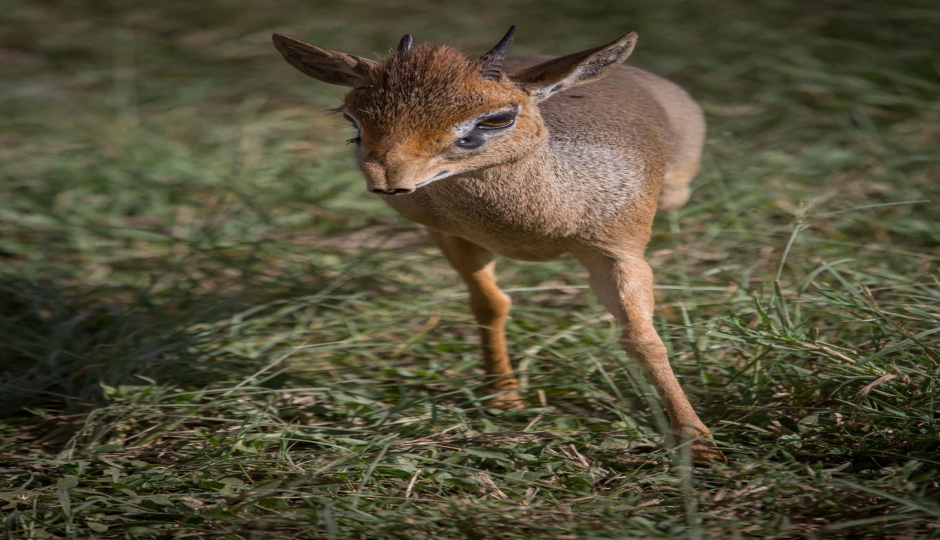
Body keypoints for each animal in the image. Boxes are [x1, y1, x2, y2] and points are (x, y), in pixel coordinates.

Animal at [276, 23, 724, 458]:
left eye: (497, 118)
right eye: (352, 117)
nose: (388, 179)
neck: (535, 226)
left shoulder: (617, 252)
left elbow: (643, 340)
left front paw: (698, 442)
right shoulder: (451, 236)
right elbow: (490, 305)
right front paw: (503, 396)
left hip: (675, 195)